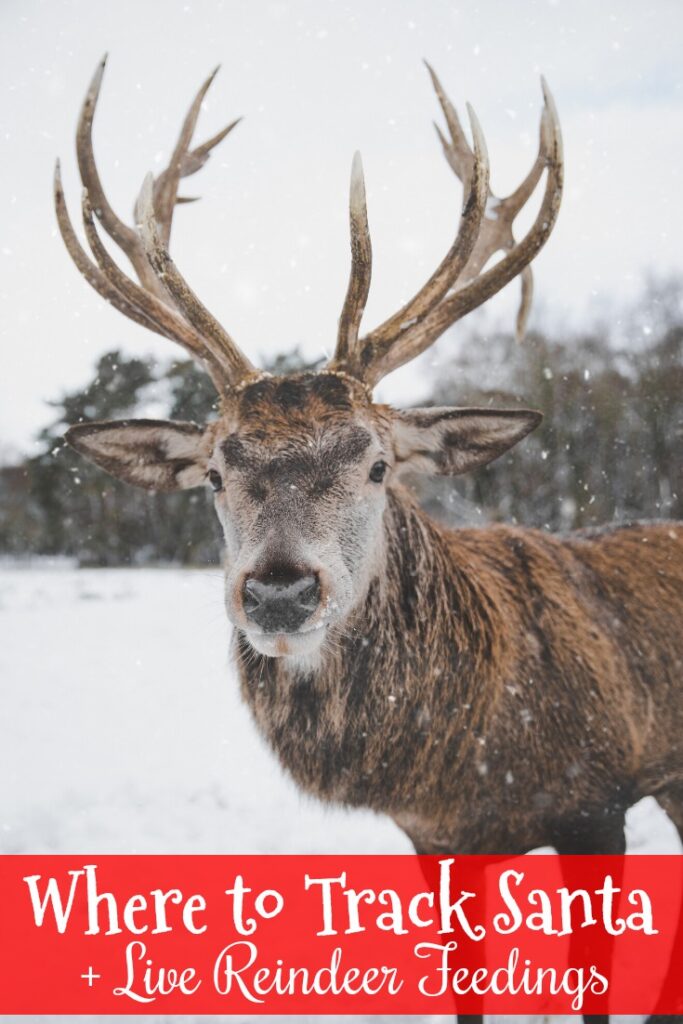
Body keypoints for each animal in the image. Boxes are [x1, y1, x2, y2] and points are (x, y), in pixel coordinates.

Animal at [57, 59, 683, 1019]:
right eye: (214, 474)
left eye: (378, 464)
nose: (279, 589)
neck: (468, 756)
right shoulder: (435, 839)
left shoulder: (597, 797)